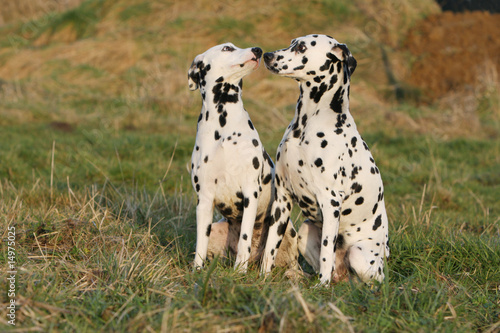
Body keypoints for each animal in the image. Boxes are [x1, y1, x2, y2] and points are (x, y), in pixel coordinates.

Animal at [187, 42, 296, 272]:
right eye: (227, 48)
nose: (258, 50)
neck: (223, 127)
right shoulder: (204, 199)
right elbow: (200, 242)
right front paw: (196, 270)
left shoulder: (250, 193)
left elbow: (245, 238)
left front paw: (240, 270)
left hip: (287, 232)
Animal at [262, 34, 390, 286]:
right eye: (292, 42)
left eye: (302, 47)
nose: (267, 55)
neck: (306, 123)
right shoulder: (282, 198)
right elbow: (270, 246)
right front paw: (262, 277)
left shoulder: (330, 202)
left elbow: (325, 254)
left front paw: (321, 287)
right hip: (304, 232)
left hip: (359, 255)